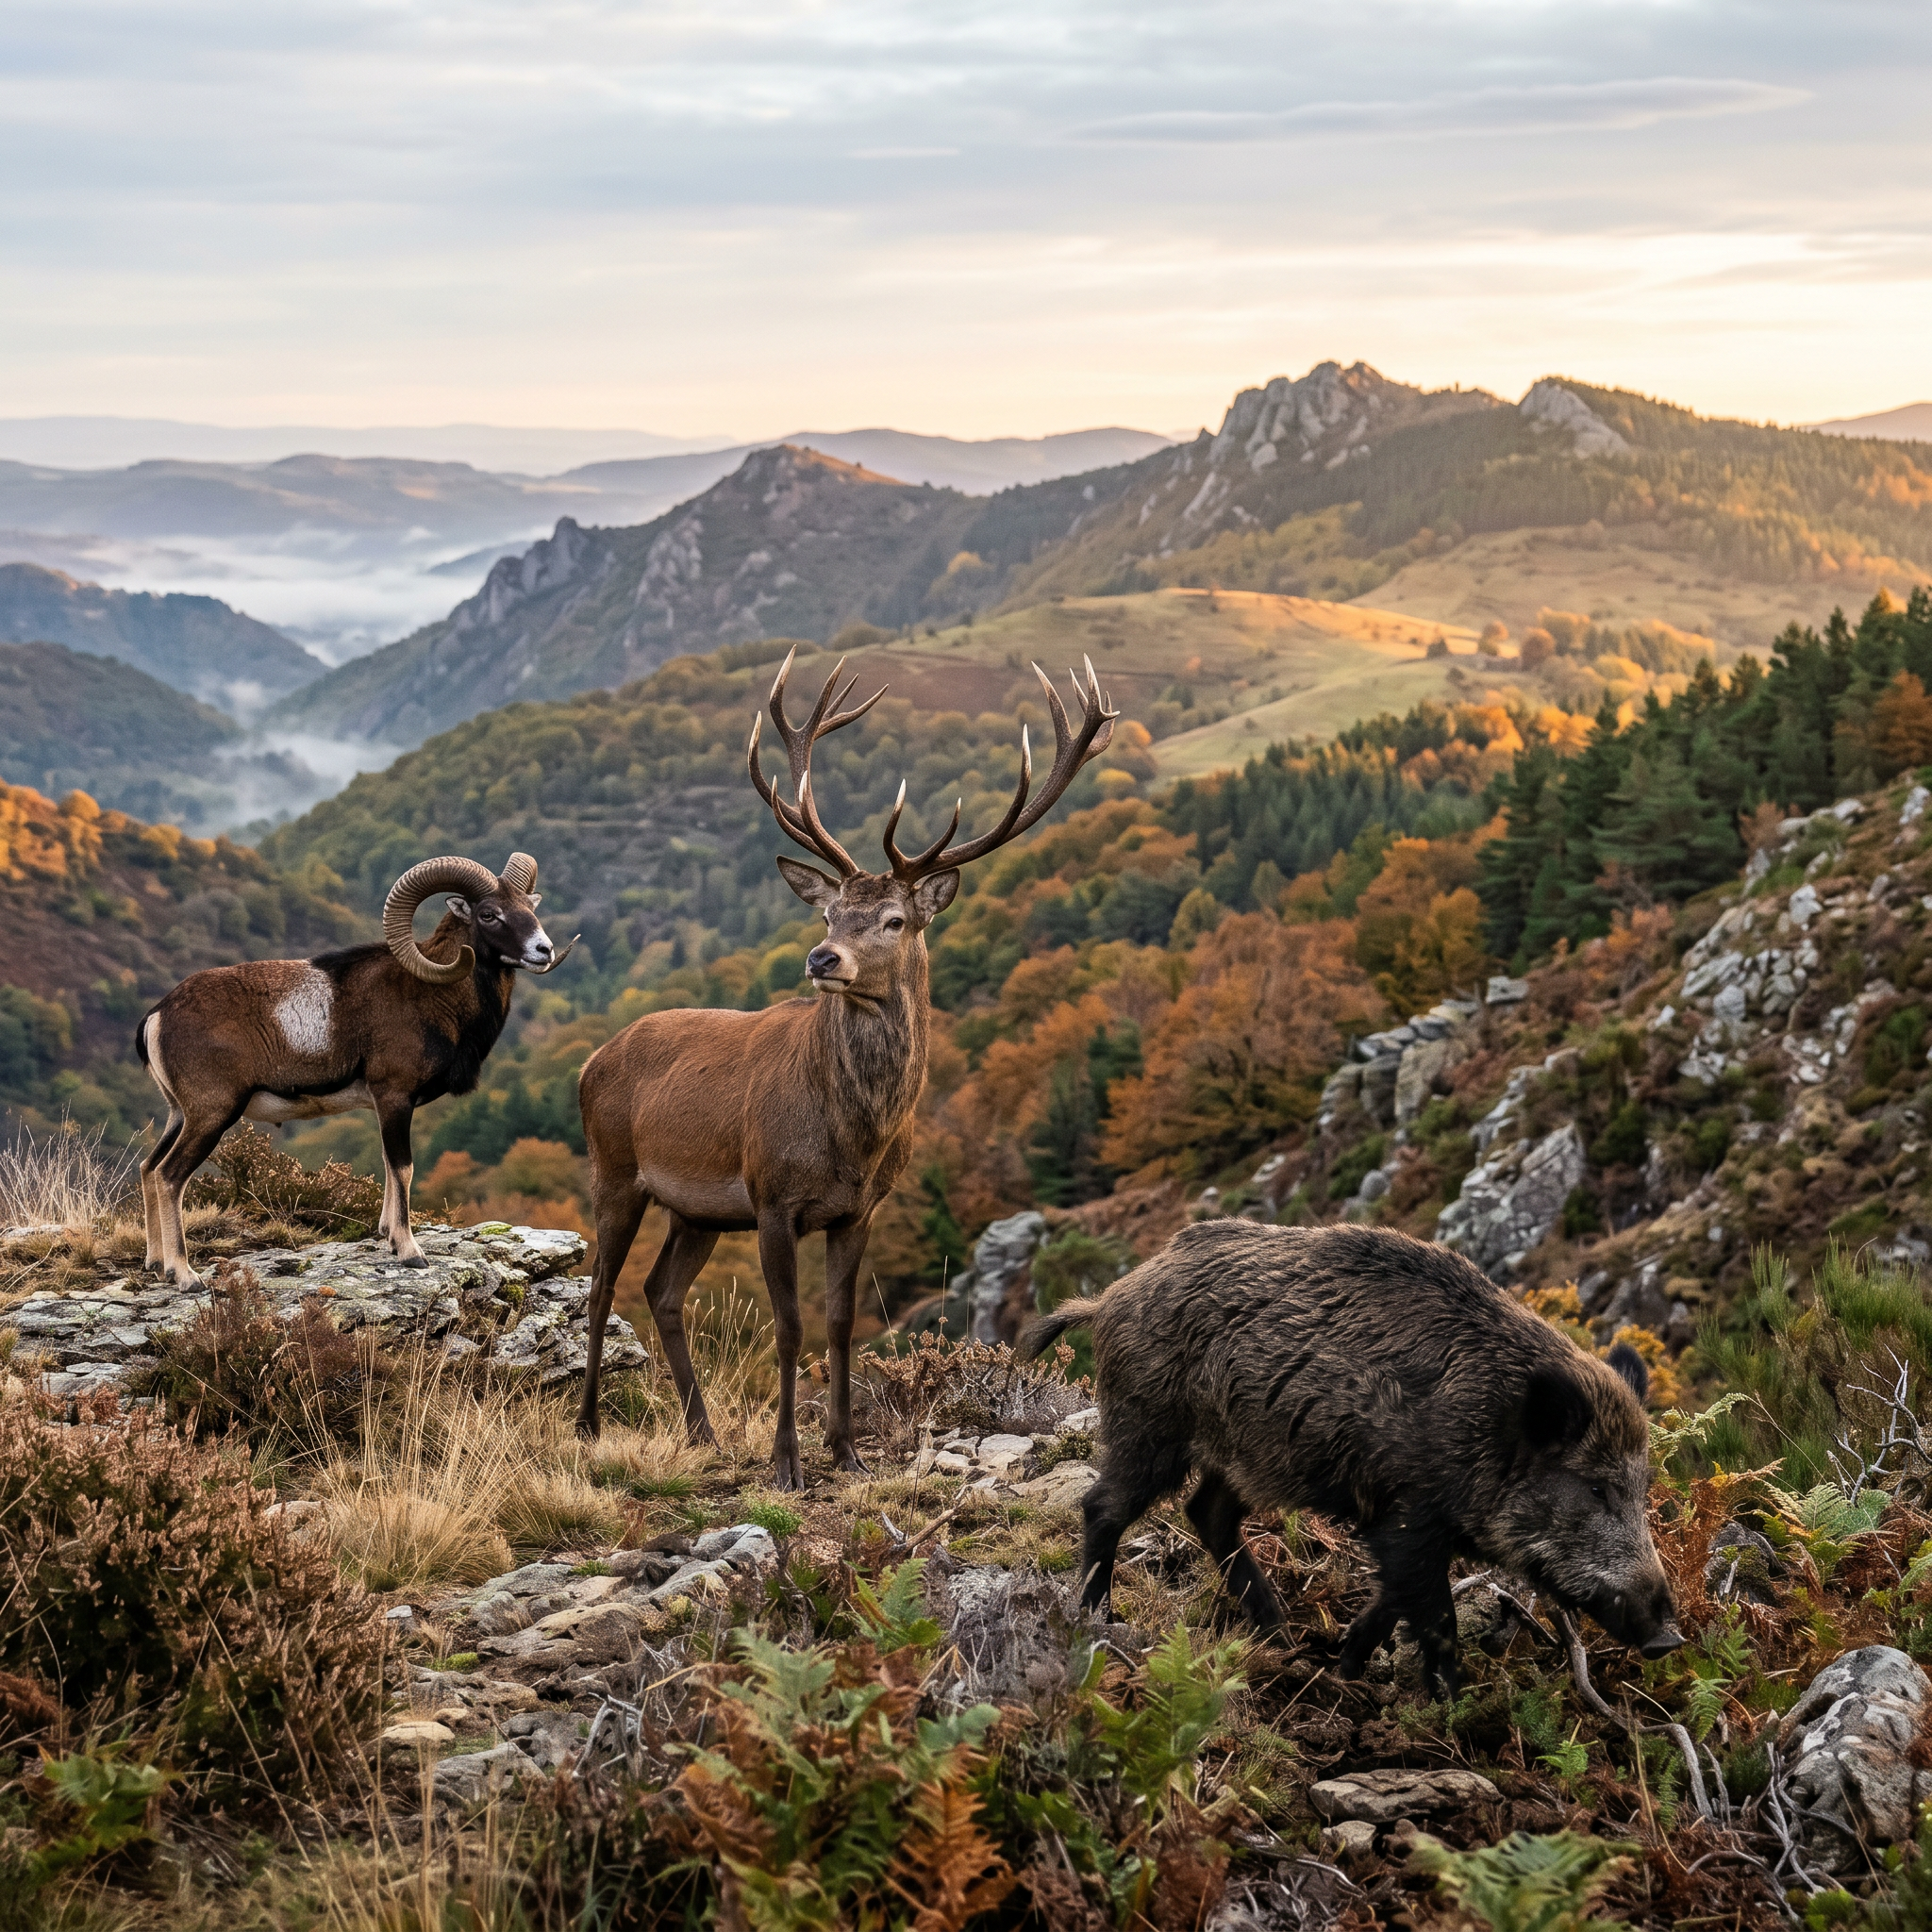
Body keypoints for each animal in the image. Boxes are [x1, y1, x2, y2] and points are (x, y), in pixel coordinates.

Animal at [574, 647, 1117, 1486]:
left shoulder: (859, 1208)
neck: (853, 1137)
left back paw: (703, 1435)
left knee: (662, 1292)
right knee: (602, 1287)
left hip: (697, 1210)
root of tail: (591, 1061)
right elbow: (790, 1328)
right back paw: (589, 1423)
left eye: (893, 919)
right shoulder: (771, 1196)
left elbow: (837, 1324)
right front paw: (787, 1464)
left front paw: (847, 1451)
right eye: (829, 912)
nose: (821, 957)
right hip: (615, 1167)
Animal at [1020, 1219, 1682, 1693]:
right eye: (1595, 1487)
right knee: (1103, 1505)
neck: (1491, 1428)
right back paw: (1098, 1621)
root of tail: (1109, 1298)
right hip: (1150, 1427)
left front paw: (1345, 1665)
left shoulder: (1412, 1527)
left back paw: (1281, 1634)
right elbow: (1435, 1616)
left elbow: (1392, 1601)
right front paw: (1453, 1706)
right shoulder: (1409, 1513)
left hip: (1244, 1453)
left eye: (1642, 1486)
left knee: (1207, 1513)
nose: (1669, 1638)